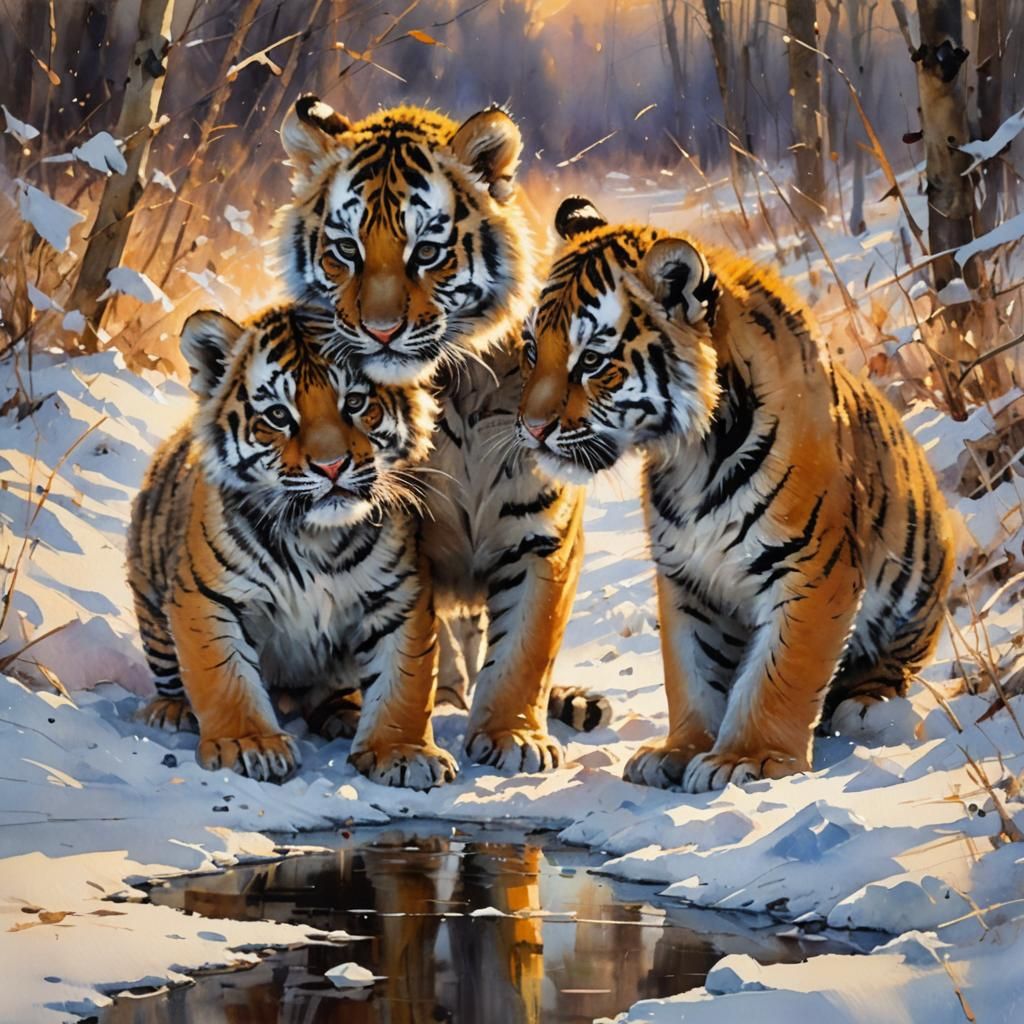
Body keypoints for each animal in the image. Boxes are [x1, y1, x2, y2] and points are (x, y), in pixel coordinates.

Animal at [128, 304, 458, 790]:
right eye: (279, 416)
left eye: (355, 403)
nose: (332, 466)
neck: (314, 536)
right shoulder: (207, 597)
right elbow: (224, 675)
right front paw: (249, 744)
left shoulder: (399, 596)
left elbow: (405, 679)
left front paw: (402, 751)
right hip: (150, 598)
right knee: (169, 668)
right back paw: (173, 709)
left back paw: (344, 713)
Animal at [274, 96, 609, 772]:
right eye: (344, 249)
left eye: (426, 252)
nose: (380, 331)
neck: (456, 386)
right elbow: (419, 645)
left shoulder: (544, 533)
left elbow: (525, 645)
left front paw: (513, 737)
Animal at [516, 196, 954, 793]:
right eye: (531, 347)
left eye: (591, 361)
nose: (531, 428)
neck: (690, 455)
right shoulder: (687, 574)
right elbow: (692, 671)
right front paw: (679, 751)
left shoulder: (813, 570)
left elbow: (780, 672)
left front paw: (748, 758)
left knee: (890, 669)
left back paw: (866, 707)